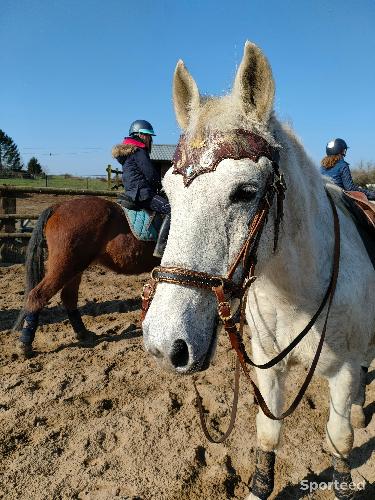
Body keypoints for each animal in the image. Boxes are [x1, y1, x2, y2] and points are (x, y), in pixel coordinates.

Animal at [13, 194, 159, 356]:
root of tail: (58, 206)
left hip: (75, 267)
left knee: (68, 297)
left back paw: (83, 333)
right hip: (64, 265)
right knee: (37, 296)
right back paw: (25, 345)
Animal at [142, 41, 374, 498]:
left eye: (246, 191)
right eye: (168, 193)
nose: (163, 345)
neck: (297, 292)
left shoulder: (342, 372)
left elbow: (339, 439)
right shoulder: (269, 365)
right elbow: (268, 433)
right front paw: (260, 485)